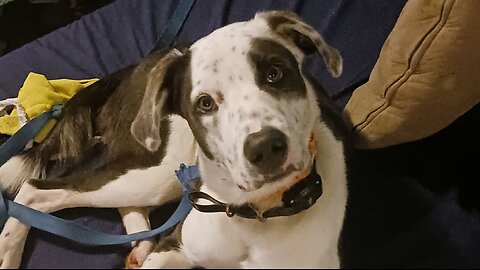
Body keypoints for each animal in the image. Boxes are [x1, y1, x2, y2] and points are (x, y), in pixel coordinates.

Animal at [0, 10, 346, 268]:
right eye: (204, 103)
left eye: (275, 73)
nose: (265, 148)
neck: (256, 215)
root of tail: (147, 63)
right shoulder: (174, 245)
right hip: (159, 170)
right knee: (38, 190)